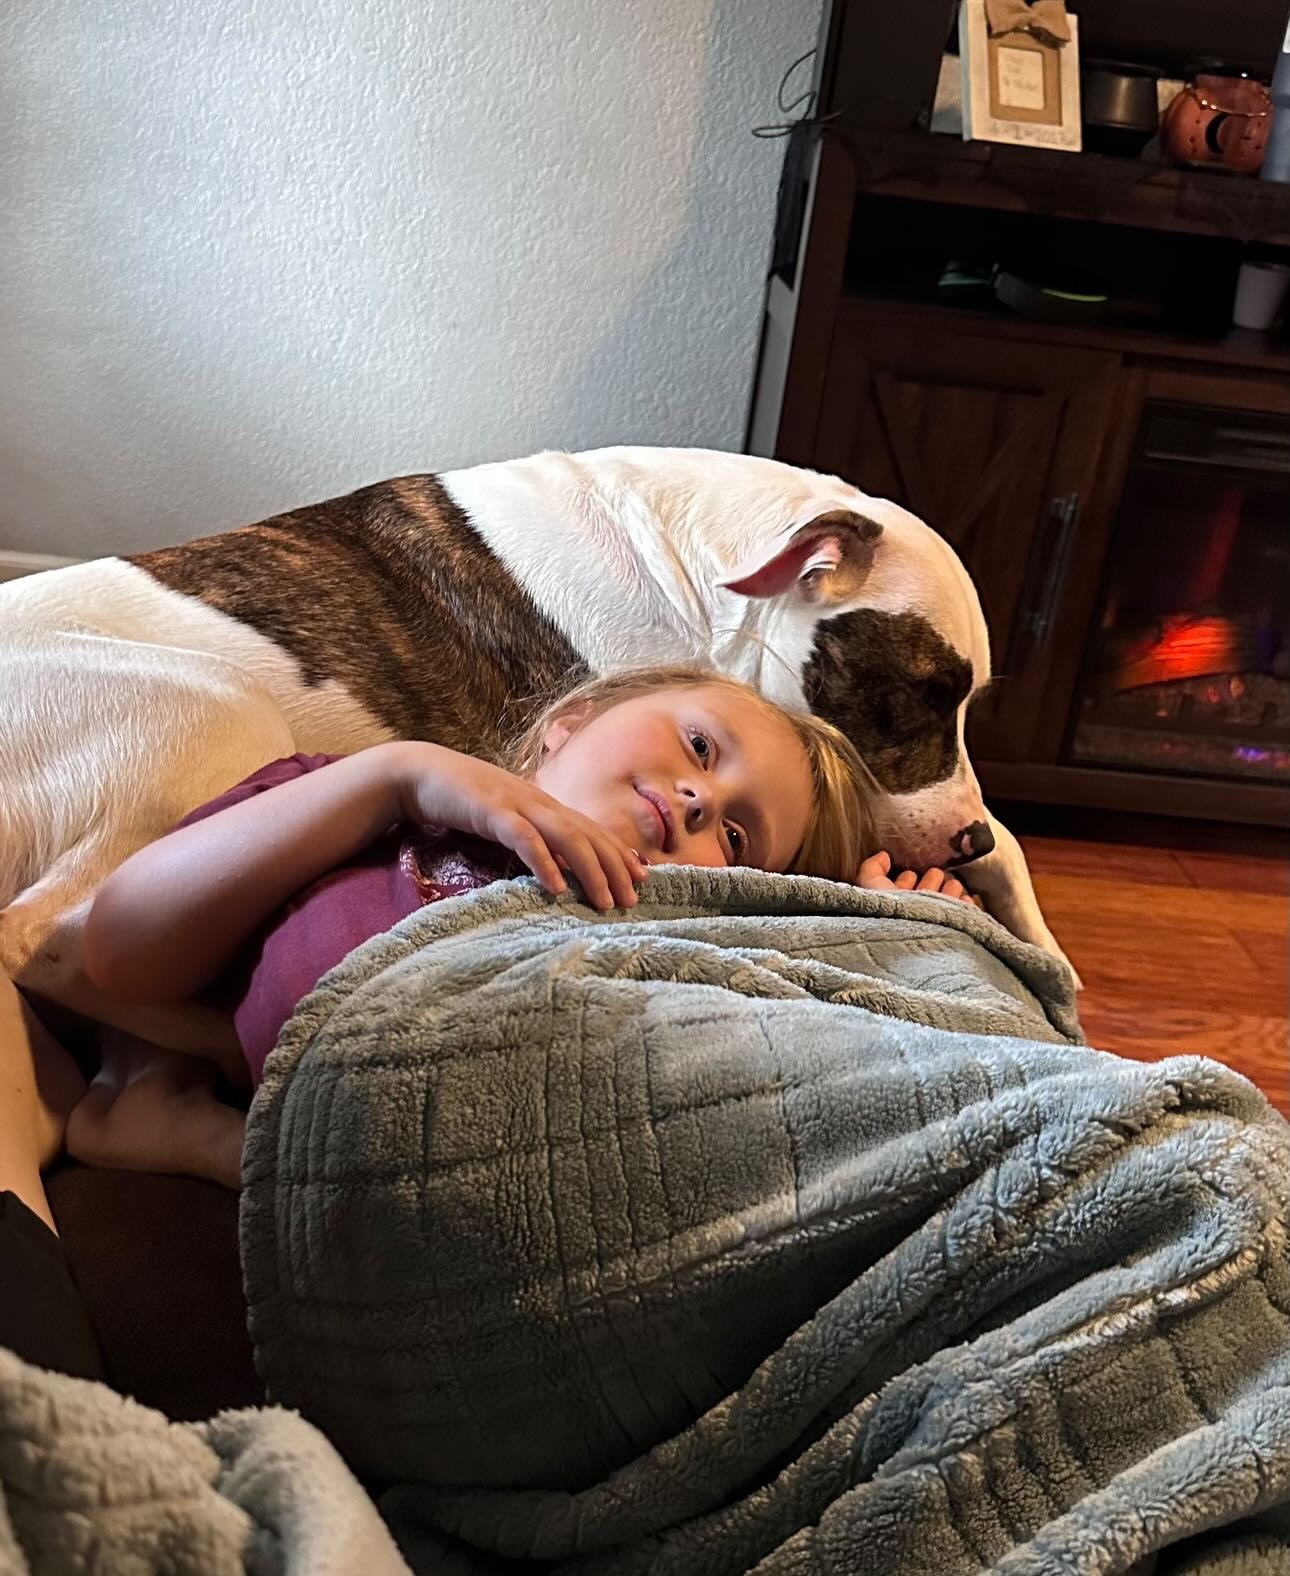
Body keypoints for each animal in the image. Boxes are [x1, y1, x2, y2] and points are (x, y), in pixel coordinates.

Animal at [0, 444, 1077, 1046]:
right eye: (921, 693)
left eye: (970, 700)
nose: (966, 841)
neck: (705, 577)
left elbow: (1019, 858)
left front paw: (1041, 946)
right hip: (214, 711)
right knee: (47, 938)